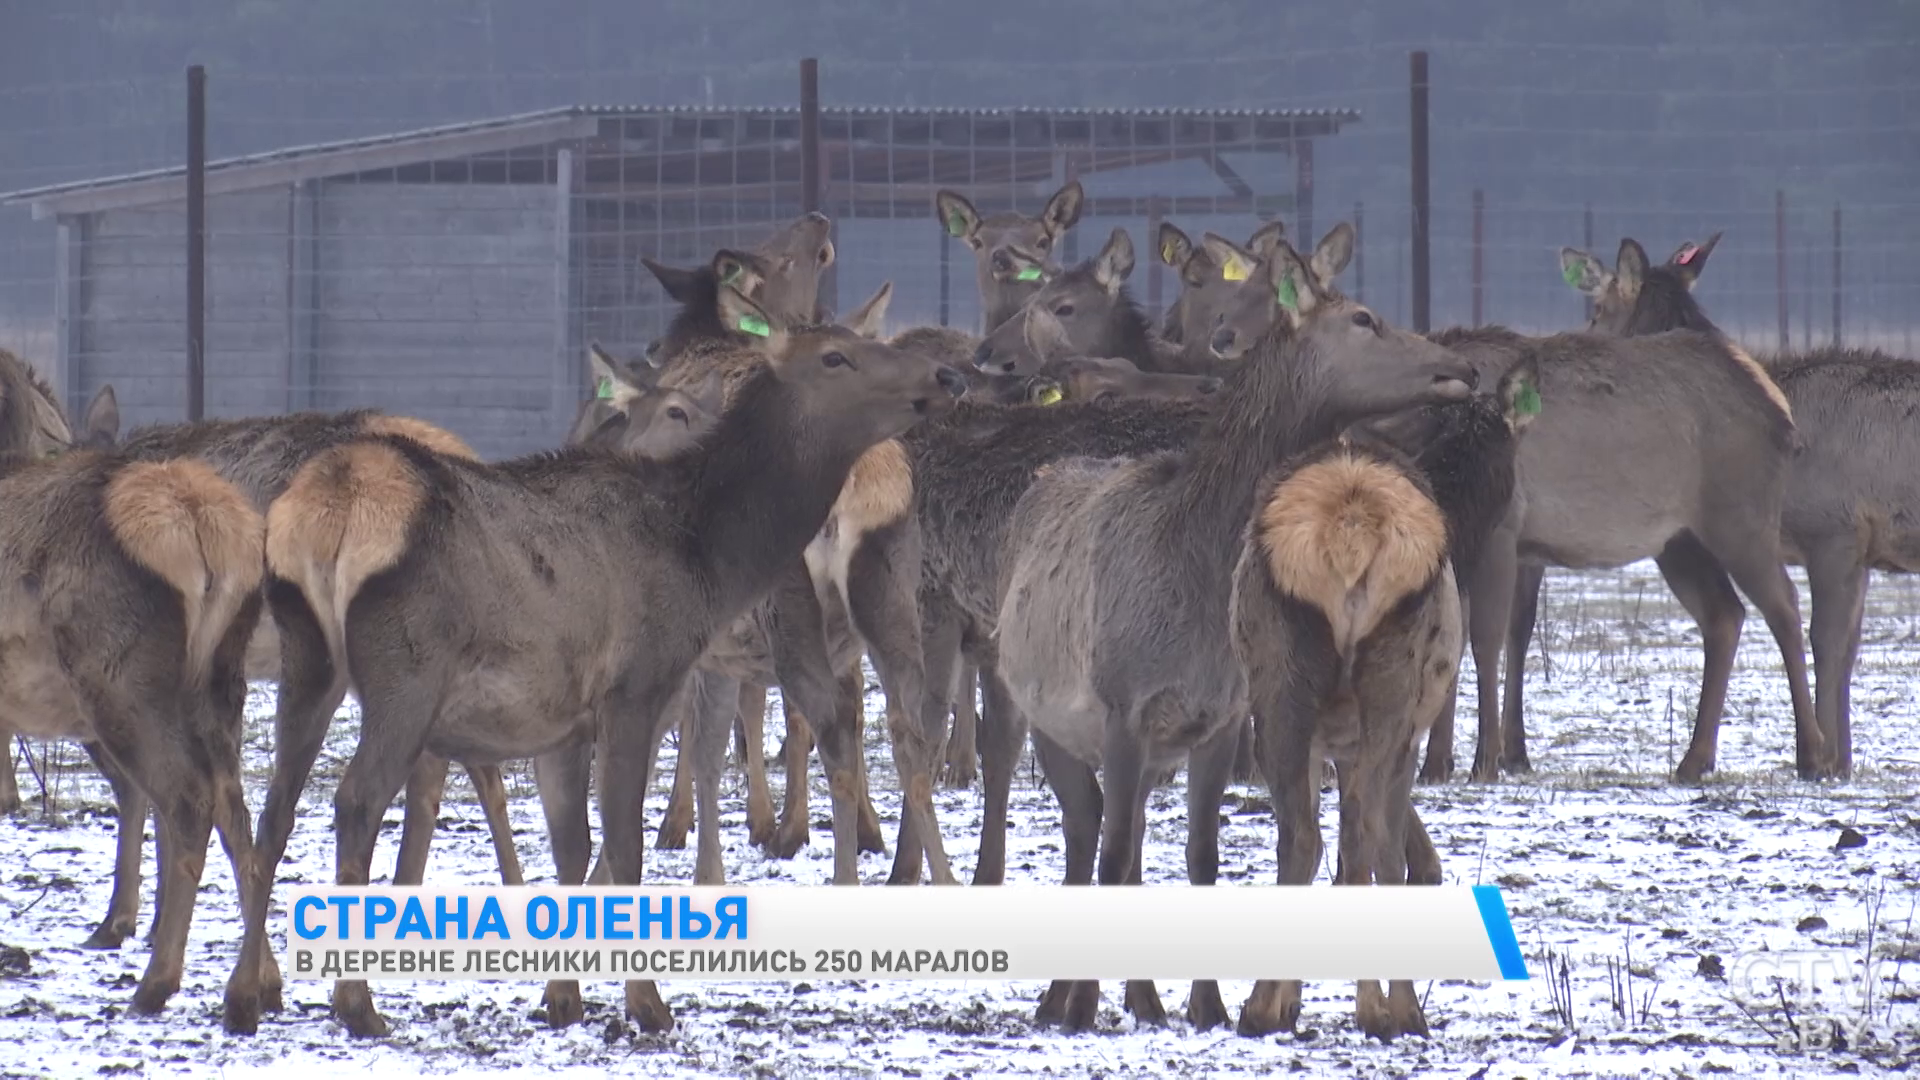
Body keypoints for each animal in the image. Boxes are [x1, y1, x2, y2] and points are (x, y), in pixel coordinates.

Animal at [0, 449, 278, 1030]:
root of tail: (200, 522)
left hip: (118, 679)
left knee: (186, 800)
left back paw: (155, 984)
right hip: (220, 683)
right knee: (235, 810)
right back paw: (254, 989)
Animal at [259, 286, 960, 1037]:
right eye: (835, 356)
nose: (945, 375)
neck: (708, 553)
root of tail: (331, 507)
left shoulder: (560, 718)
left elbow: (571, 846)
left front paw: (562, 997)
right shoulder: (638, 684)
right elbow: (627, 846)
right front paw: (648, 1003)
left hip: (306, 664)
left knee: (272, 814)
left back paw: (249, 991)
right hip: (406, 675)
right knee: (354, 801)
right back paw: (355, 1003)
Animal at [983, 231, 1474, 1030]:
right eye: (1364, 318)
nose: (1460, 367)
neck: (1194, 587)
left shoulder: (1219, 717)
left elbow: (1200, 858)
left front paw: (1204, 1004)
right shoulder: (1121, 705)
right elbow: (1113, 858)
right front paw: (1091, 1003)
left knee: (1125, 839)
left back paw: (1134, 998)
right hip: (1044, 715)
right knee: (1086, 839)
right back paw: (1061, 1001)